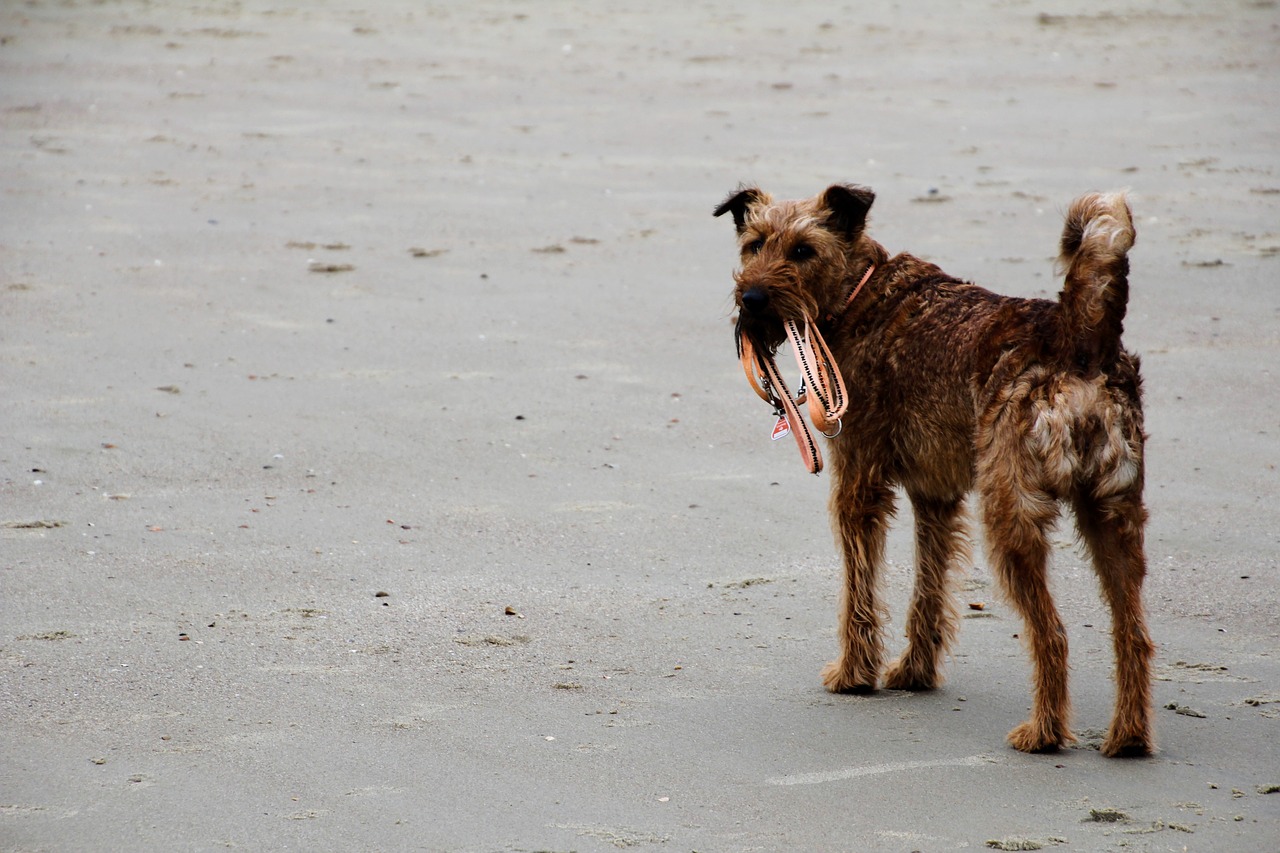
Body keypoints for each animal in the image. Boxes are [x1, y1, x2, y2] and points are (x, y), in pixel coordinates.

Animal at [716, 183, 1157, 753]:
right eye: (754, 244)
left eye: (803, 251)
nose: (751, 298)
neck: (861, 293)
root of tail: (1081, 335)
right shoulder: (936, 494)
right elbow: (929, 583)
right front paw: (915, 672)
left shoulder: (858, 481)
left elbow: (859, 585)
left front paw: (854, 674)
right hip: (1114, 511)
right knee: (1133, 633)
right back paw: (1128, 736)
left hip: (1011, 513)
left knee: (1052, 632)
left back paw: (1043, 732)